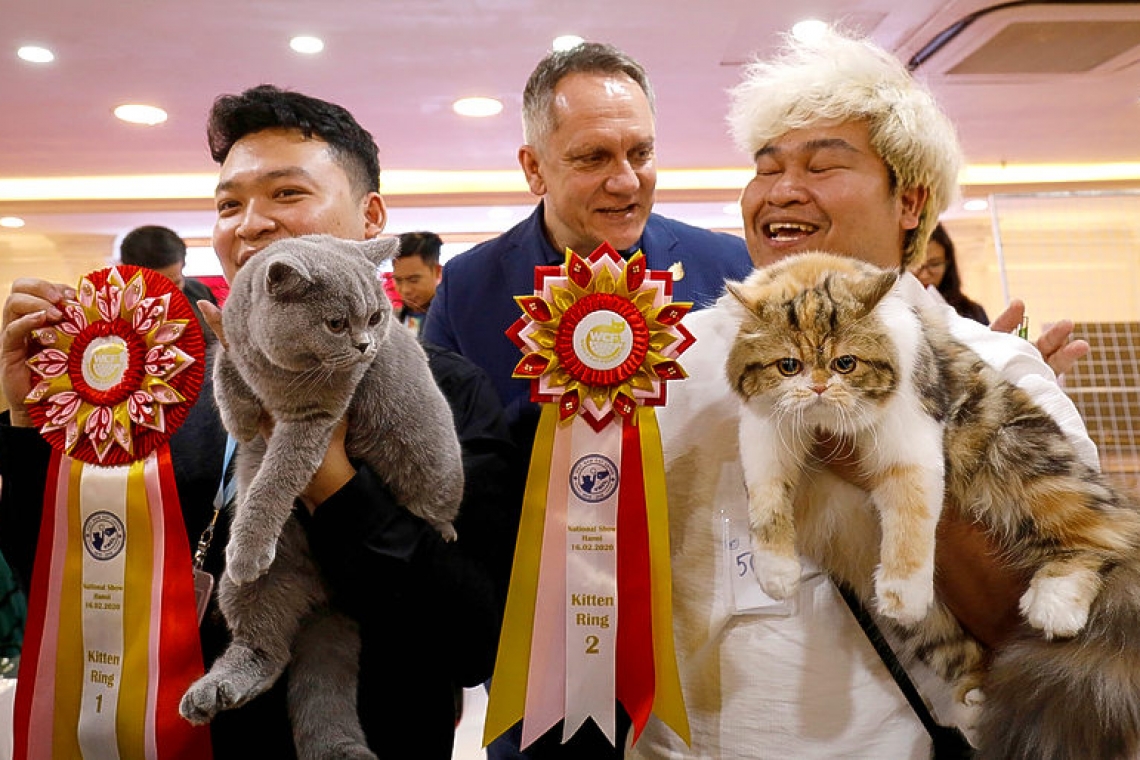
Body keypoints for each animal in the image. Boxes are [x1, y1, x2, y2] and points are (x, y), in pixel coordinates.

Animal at [177, 234, 462, 756]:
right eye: (335, 323)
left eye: (376, 316)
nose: (366, 346)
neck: (274, 368)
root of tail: (327, 599)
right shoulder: (232, 343)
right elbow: (226, 369)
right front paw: (238, 417)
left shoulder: (315, 418)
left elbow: (274, 480)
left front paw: (249, 545)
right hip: (252, 588)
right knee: (265, 648)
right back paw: (214, 691)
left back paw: (443, 527)